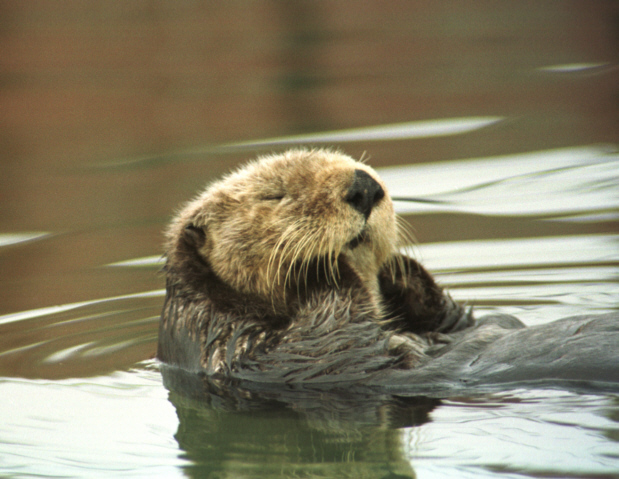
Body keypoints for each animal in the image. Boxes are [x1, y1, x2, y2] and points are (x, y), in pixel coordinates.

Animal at [160, 150, 619, 394]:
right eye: (274, 195)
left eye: (358, 166)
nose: (363, 186)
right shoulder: (251, 352)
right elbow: (329, 339)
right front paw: (317, 268)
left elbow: (459, 317)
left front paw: (396, 272)